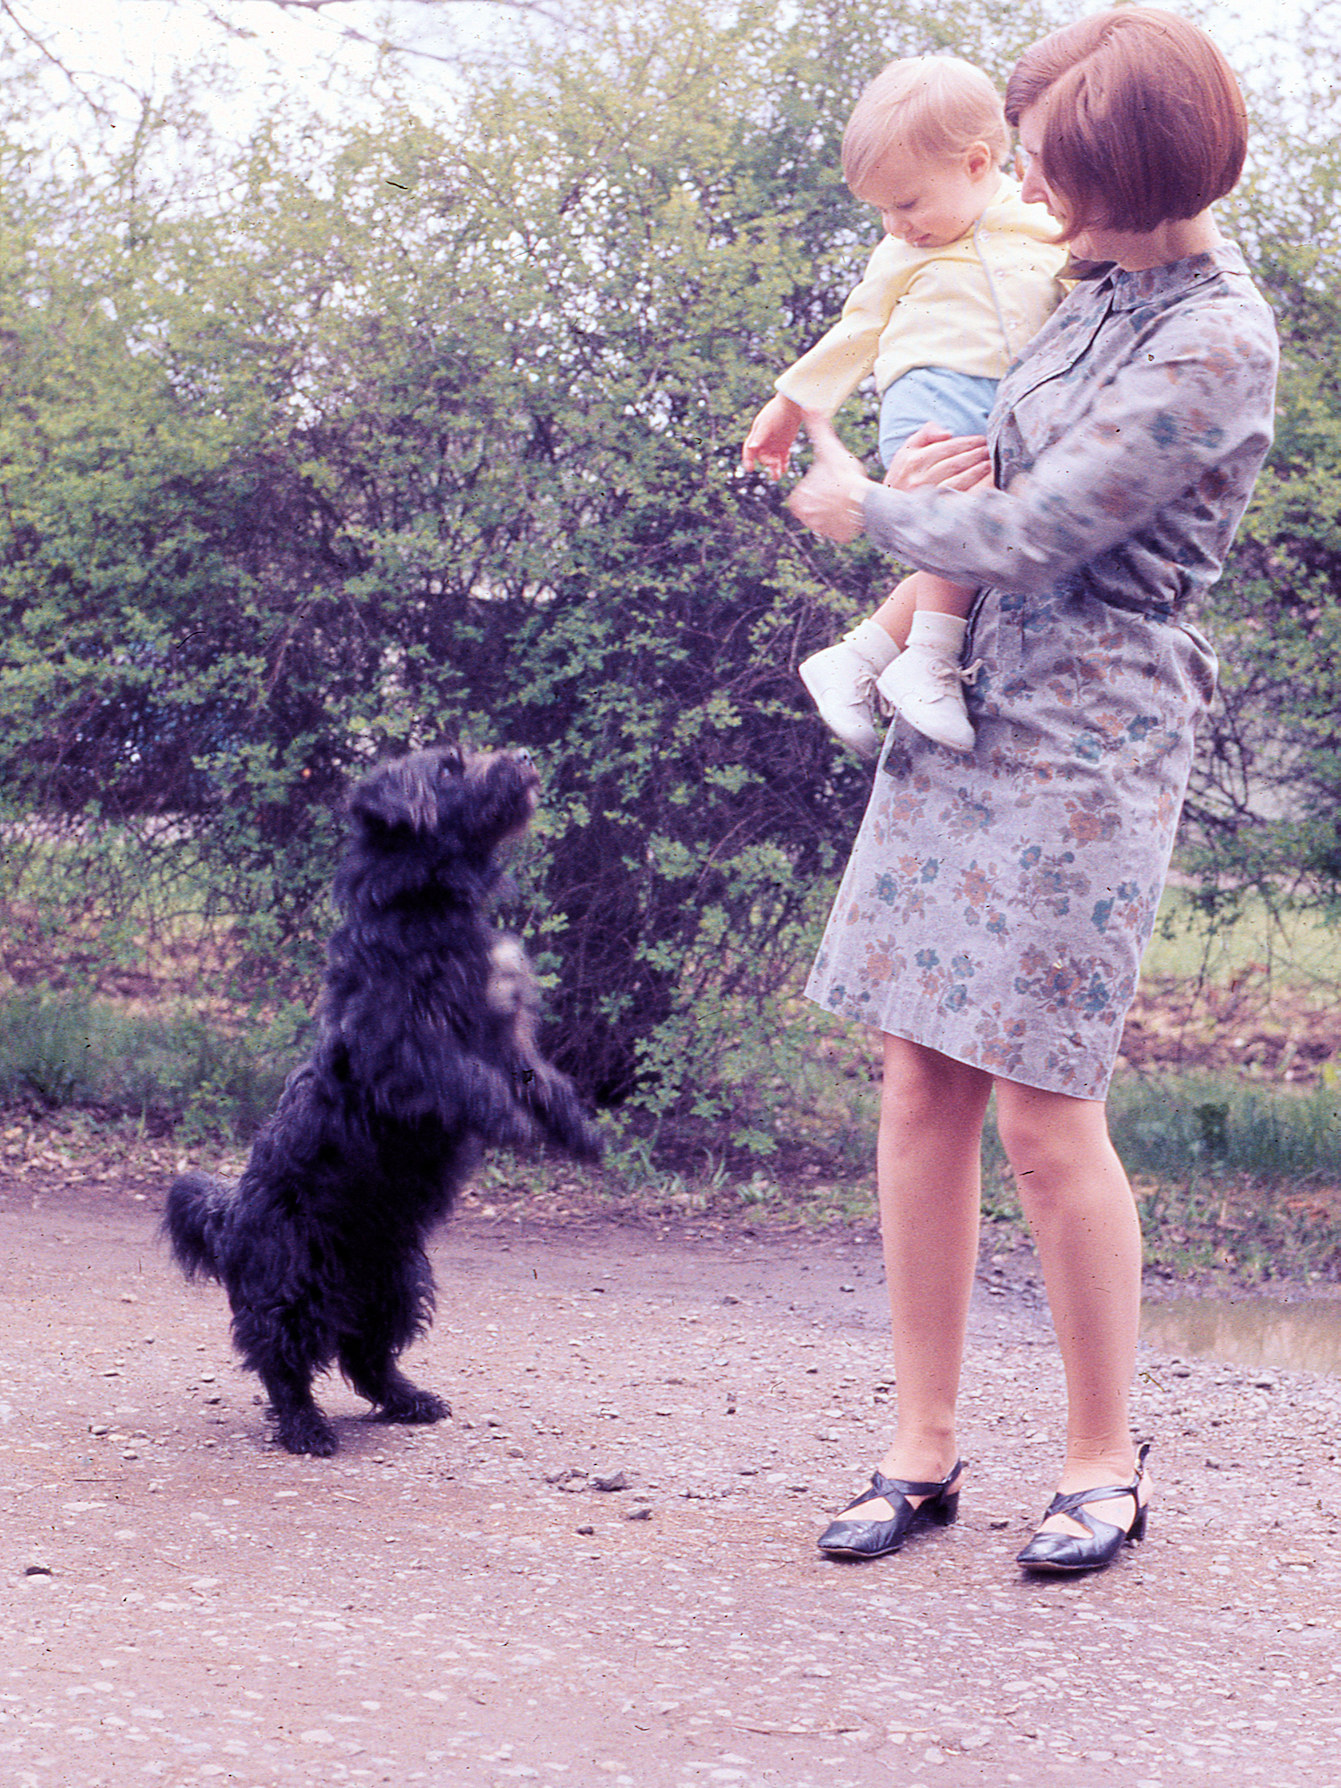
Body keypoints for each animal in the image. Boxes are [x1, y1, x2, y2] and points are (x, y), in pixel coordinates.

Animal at [160, 740, 600, 1451]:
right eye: (449, 767)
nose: (526, 756)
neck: (428, 909)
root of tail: (227, 1224)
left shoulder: (506, 1036)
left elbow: (541, 1079)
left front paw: (580, 1131)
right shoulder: (400, 1056)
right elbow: (465, 1080)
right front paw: (509, 1121)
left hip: (395, 1279)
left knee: (366, 1356)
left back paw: (408, 1397)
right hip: (297, 1281)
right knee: (280, 1358)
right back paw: (306, 1427)